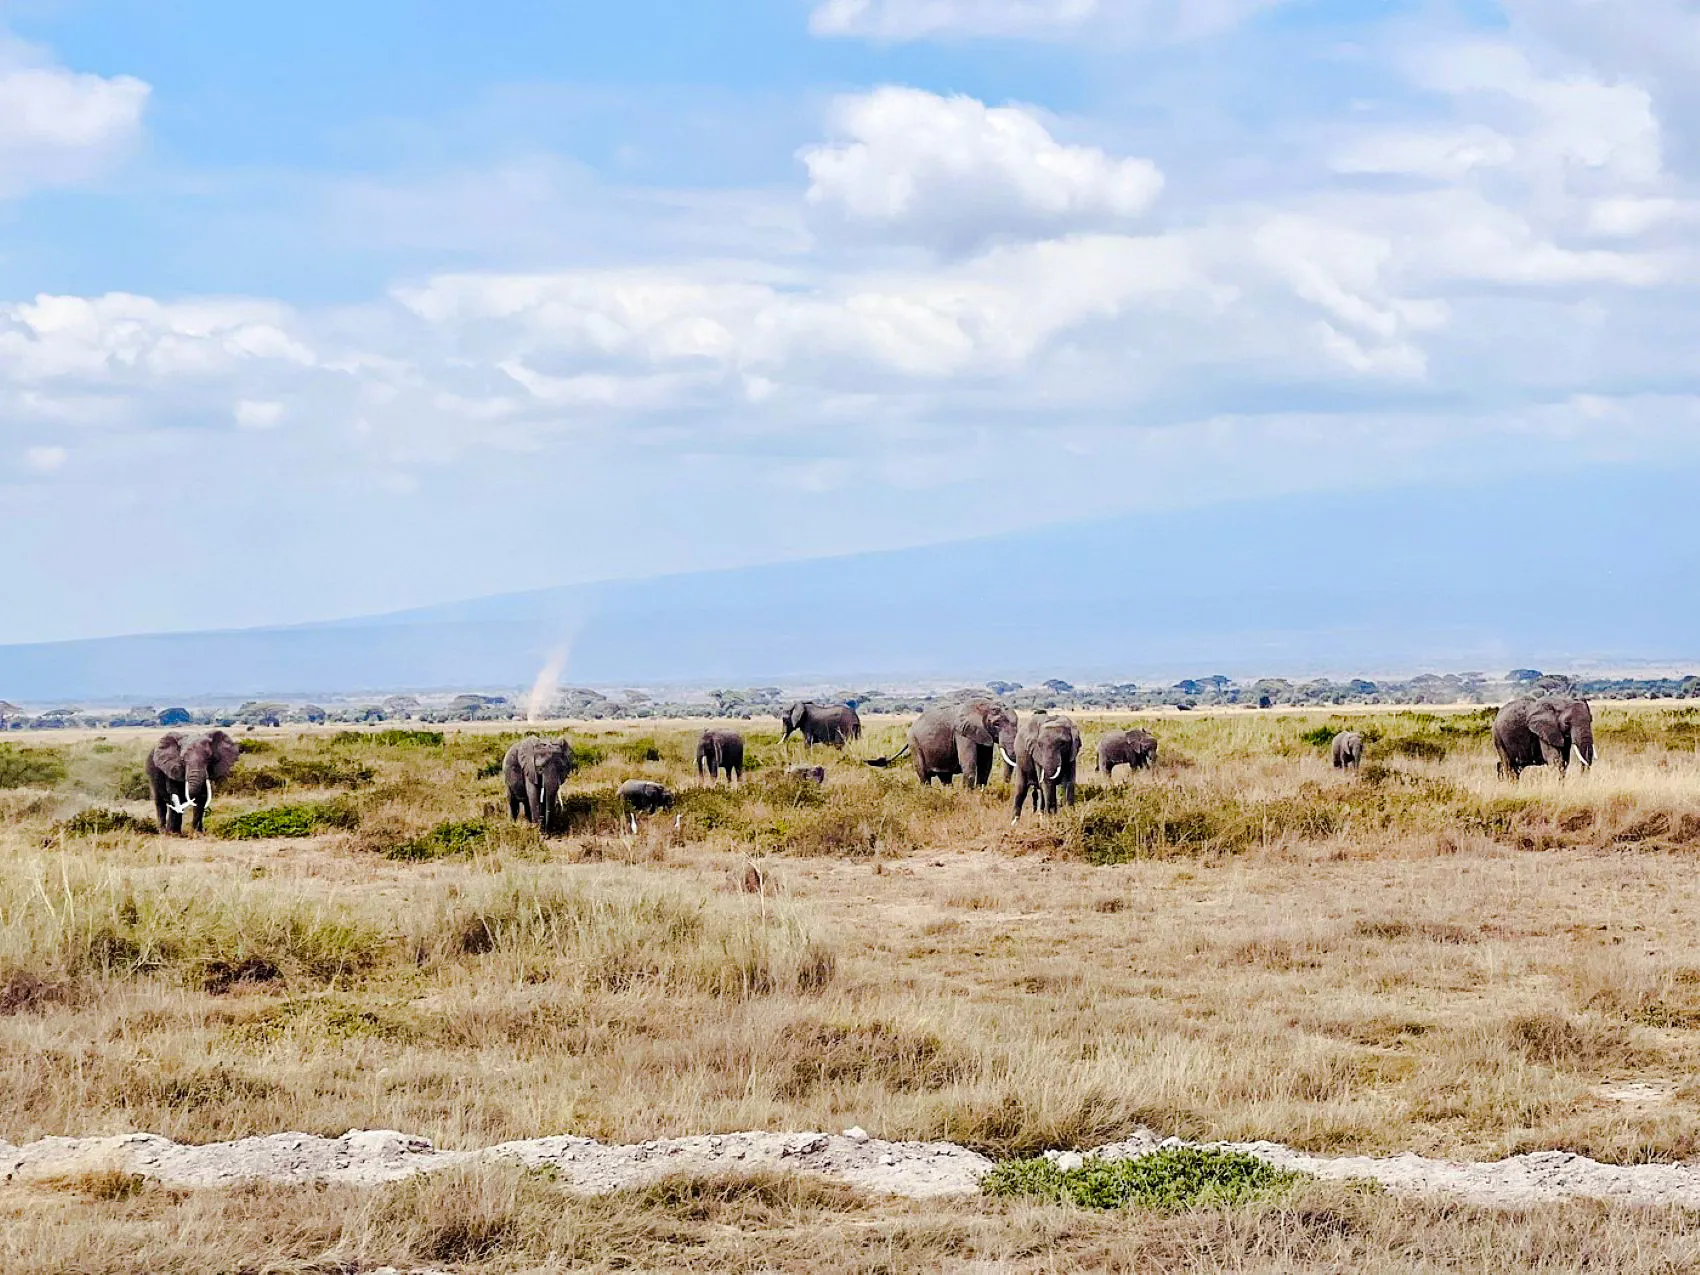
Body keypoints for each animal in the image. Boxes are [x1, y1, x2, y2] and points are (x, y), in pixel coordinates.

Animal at [866, 699, 1018, 788]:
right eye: (996, 724)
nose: (1005, 786)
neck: (983, 706)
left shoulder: (982, 734)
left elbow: (985, 765)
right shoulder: (962, 732)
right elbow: (969, 763)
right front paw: (969, 797)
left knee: (945, 777)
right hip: (914, 743)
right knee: (924, 776)